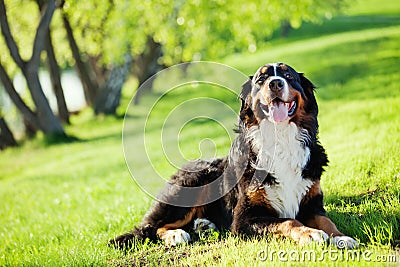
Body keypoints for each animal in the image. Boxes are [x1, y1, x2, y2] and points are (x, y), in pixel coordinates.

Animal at [110, 62, 360, 251]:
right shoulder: (244, 219)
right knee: (153, 227)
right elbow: (288, 221)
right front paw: (310, 234)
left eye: (288, 75)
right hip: (192, 184)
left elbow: (326, 220)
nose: (275, 83)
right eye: (261, 80)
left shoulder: (312, 203)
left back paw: (203, 225)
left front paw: (341, 237)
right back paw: (176, 235)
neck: (280, 140)